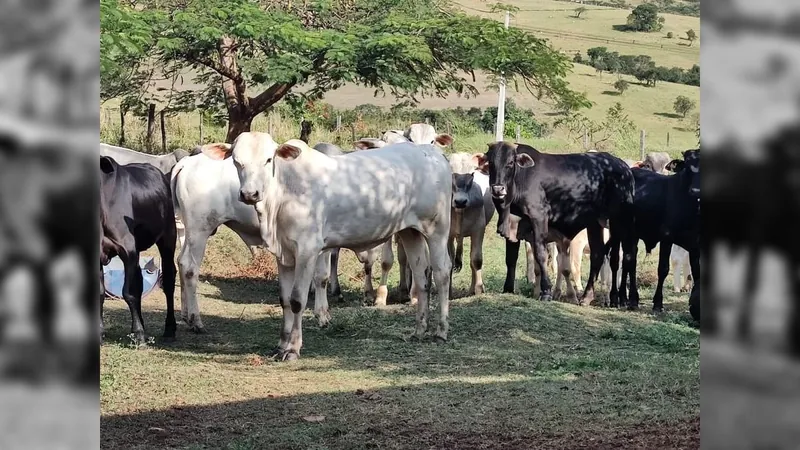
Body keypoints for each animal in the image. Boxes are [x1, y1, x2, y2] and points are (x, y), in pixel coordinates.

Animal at [99, 156, 176, 342]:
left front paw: (139, 333)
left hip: (168, 235)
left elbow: (129, 292)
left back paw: (169, 328)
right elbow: (100, 292)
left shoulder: (128, 249)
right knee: (140, 281)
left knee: (169, 279)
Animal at [203, 132, 454, 360]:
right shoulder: (283, 254)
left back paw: (441, 331)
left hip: (437, 230)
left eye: (268, 159)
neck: (283, 193)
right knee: (421, 276)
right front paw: (281, 346)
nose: (249, 193)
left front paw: (293, 349)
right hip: (410, 232)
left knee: (441, 272)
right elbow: (284, 300)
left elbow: (297, 299)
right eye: (237, 161)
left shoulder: (307, 250)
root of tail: (435, 155)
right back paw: (419, 330)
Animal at [476, 144, 636, 306]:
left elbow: (541, 255)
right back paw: (587, 296)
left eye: (510, 162)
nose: (498, 189)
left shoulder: (539, 218)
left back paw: (618, 298)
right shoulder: (512, 229)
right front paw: (508, 289)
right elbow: (510, 259)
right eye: (490, 163)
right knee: (597, 254)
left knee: (620, 257)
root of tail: (624, 167)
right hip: (595, 223)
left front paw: (546, 291)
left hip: (619, 221)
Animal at [620, 149, 700, 312]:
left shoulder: (695, 244)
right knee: (630, 262)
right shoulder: (666, 237)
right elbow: (663, 269)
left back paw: (627, 298)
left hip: (633, 235)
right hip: (626, 232)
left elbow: (697, 272)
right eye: (687, 167)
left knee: (628, 259)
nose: (695, 191)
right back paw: (630, 299)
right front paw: (658, 302)